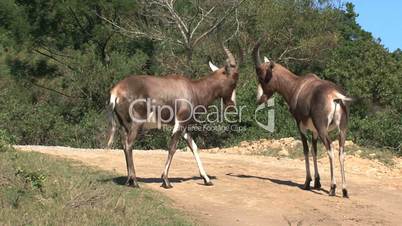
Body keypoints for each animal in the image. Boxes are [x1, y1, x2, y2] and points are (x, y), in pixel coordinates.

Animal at [107, 46, 239, 189]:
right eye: (234, 80)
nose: (232, 105)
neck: (192, 88)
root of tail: (116, 91)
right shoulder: (179, 123)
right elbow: (172, 148)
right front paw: (166, 181)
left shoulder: (184, 126)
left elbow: (194, 148)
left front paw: (207, 179)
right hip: (136, 124)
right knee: (129, 144)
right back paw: (135, 181)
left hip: (124, 125)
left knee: (124, 145)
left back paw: (128, 181)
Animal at [254, 39, 352, 197]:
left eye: (262, 77)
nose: (259, 99)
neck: (298, 85)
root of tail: (335, 95)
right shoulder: (314, 131)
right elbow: (314, 150)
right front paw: (317, 182)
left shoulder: (301, 125)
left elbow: (305, 150)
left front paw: (307, 182)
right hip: (342, 130)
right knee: (341, 152)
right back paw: (344, 190)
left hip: (323, 128)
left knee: (330, 149)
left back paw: (332, 188)